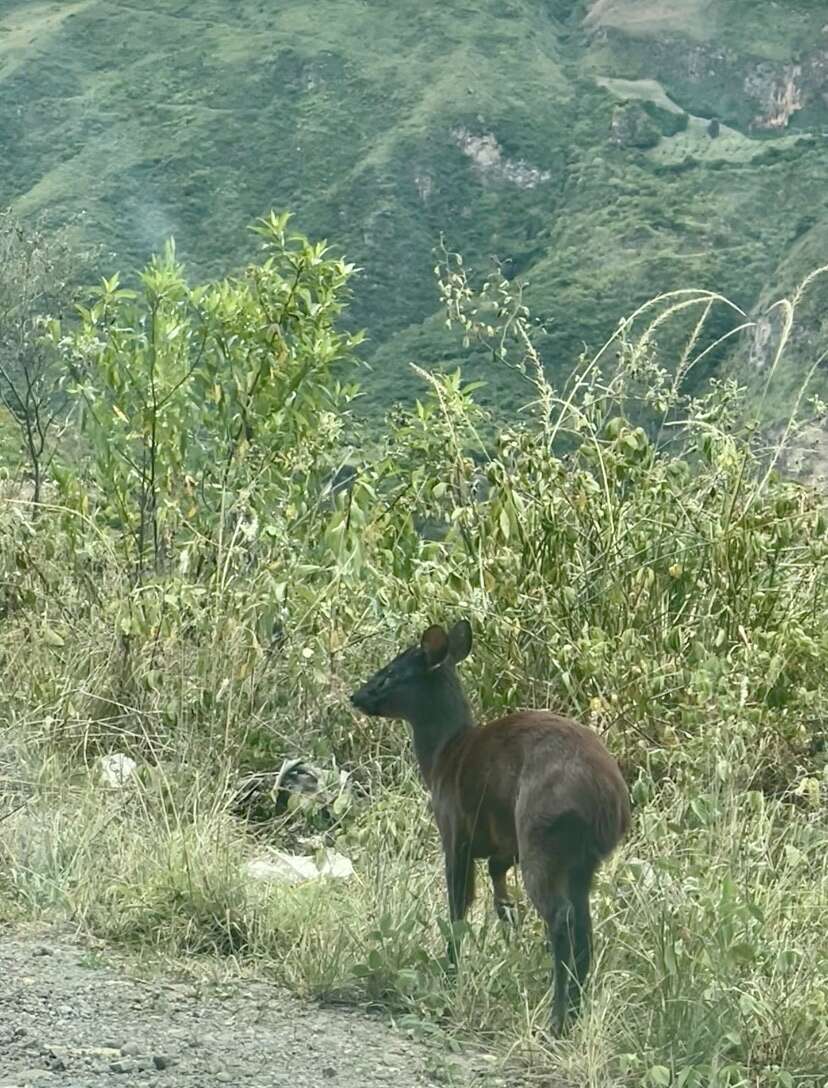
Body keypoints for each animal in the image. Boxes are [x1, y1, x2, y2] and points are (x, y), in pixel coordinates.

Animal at [348, 617, 626, 1031]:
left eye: (391, 673)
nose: (357, 695)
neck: (443, 756)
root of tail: (610, 800)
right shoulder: (503, 844)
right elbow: (499, 892)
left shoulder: (454, 830)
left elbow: (458, 905)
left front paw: (451, 974)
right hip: (580, 859)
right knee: (583, 925)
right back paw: (572, 1014)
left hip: (543, 834)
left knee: (561, 919)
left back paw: (555, 1020)